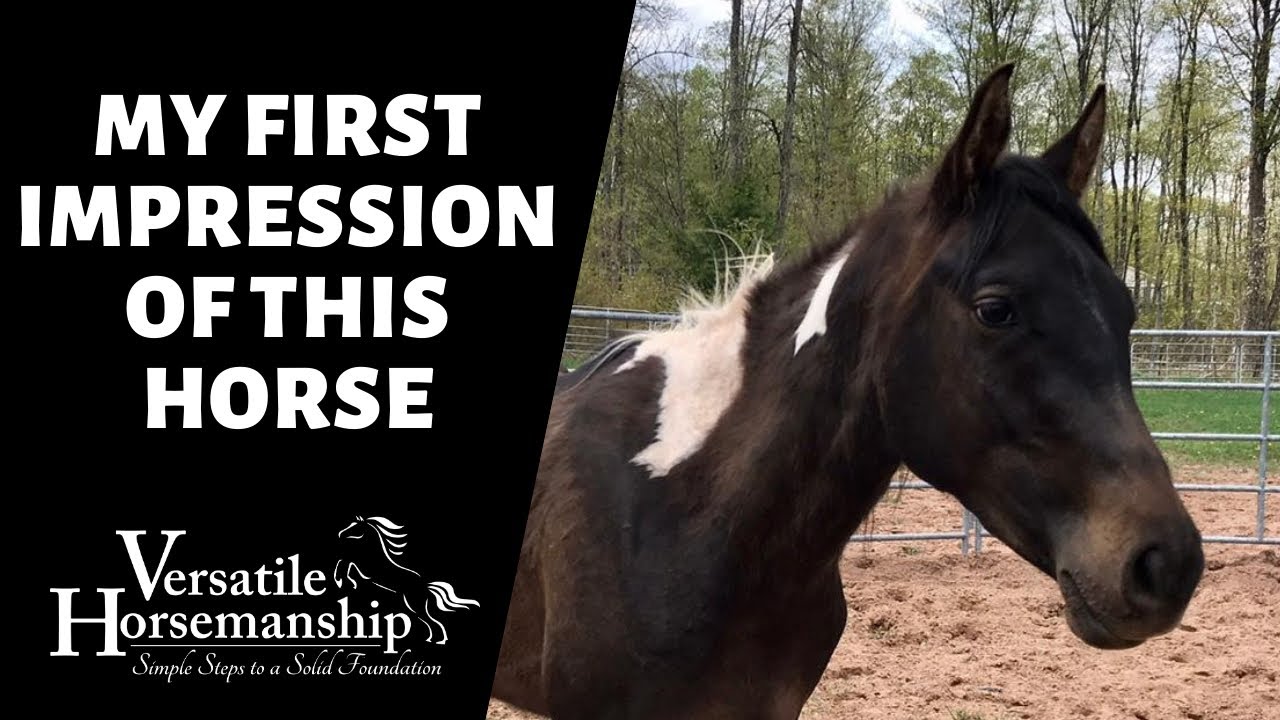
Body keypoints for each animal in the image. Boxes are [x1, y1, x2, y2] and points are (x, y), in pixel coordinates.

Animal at [334, 516, 479, 645]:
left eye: (355, 527)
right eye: (350, 525)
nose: (341, 534)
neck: (372, 552)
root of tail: (425, 586)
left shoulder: (363, 566)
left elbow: (345, 561)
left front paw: (341, 580)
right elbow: (345, 562)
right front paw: (347, 582)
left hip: (415, 604)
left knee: (434, 622)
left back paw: (437, 640)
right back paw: (432, 640)